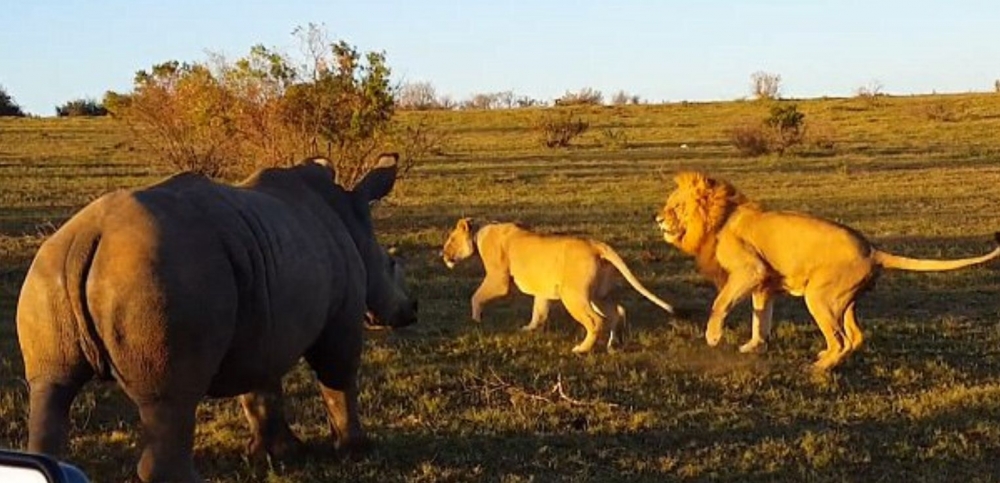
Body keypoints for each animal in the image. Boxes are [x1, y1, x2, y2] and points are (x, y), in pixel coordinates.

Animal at [656, 171, 1000, 370]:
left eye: (676, 206)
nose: (657, 219)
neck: (720, 217)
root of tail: (872, 250)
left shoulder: (750, 270)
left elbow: (720, 303)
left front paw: (713, 337)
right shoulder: (764, 284)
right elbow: (760, 319)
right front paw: (754, 345)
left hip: (818, 297)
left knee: (842, 340)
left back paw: (818, 368)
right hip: (842, 302)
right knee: (855, 336)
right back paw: (827, 360)